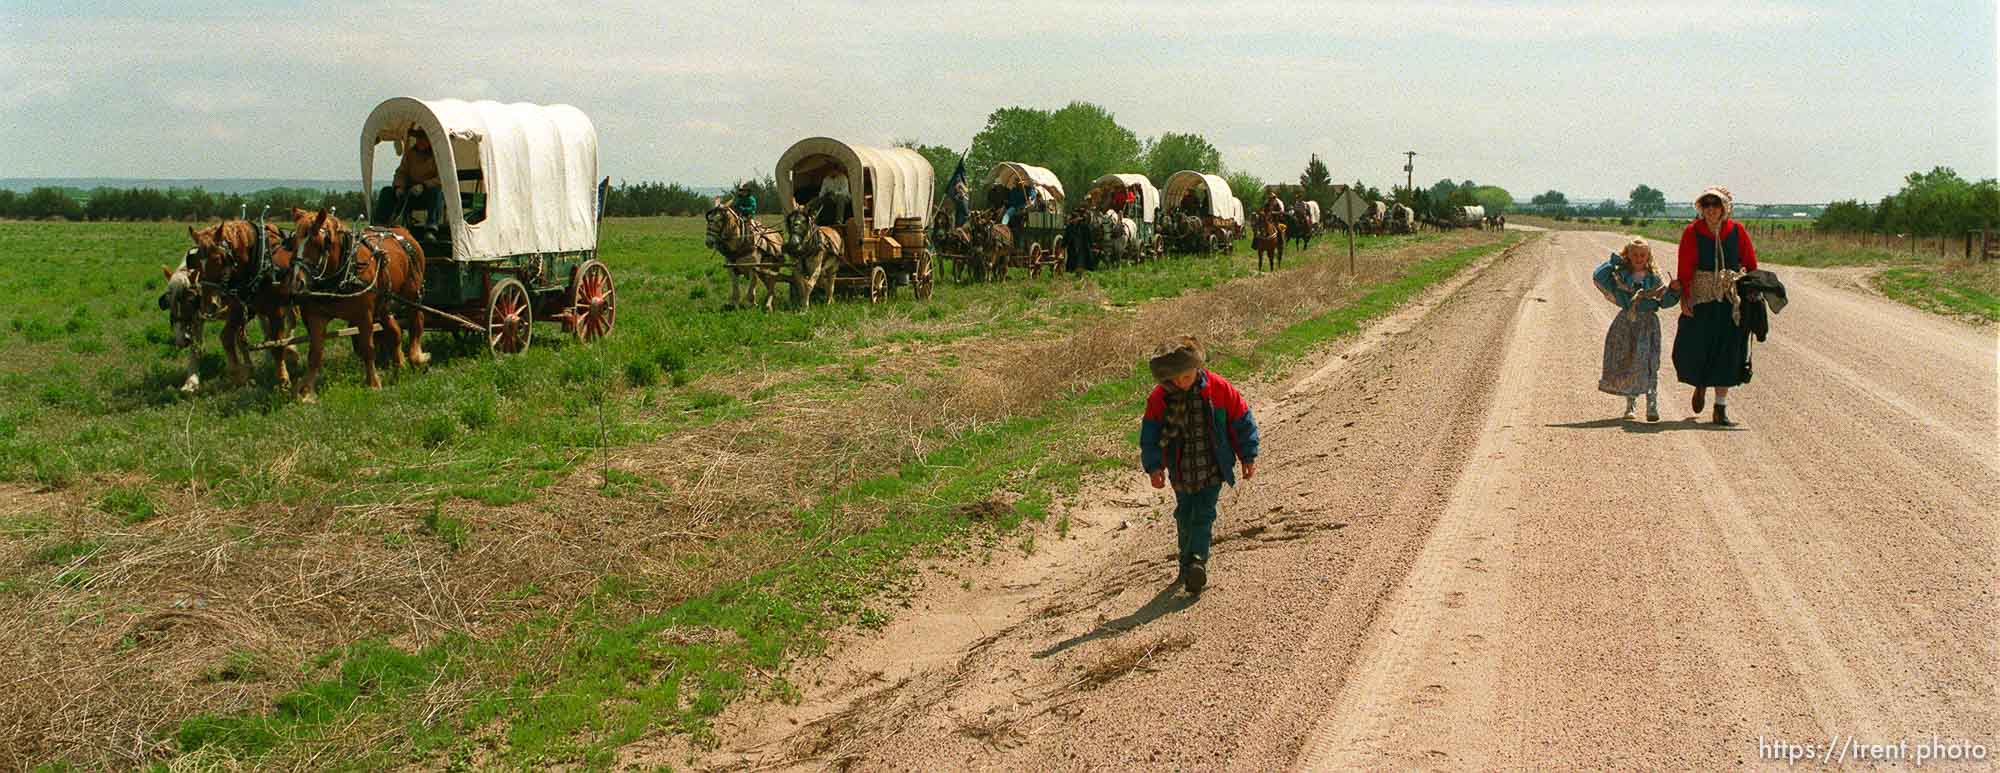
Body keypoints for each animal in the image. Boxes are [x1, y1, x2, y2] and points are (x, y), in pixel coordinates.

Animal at [184, 220, 300, 390]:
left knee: (293, 321)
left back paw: (291, 351)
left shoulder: (276, 311)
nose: (208, 304)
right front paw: (238, 374)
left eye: (217, 259)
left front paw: (283, 380)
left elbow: (277, 345)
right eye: (196, 263)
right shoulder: (240, 307)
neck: (260, 261)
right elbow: (226, 337)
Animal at [286, 207, 426, 398]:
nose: (297, 282)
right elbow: (315, 354)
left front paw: (373, 383)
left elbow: (367, 349)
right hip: (384, 302)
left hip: (412, 293)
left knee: (416, 321)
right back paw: (399, 365)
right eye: (294, 242)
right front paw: (306, 391)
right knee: (395, 332)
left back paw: (416, 357)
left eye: (318, 243)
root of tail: (403, 232)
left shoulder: (364, 315)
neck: (344, 270)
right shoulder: (316, 316)